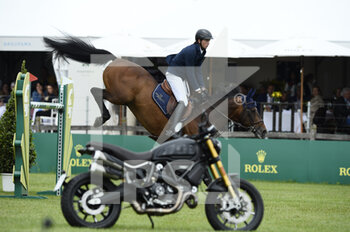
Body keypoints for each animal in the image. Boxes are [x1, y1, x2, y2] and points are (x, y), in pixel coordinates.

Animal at [44, 36, 268, 140]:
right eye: (252, 109)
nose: (264, 132)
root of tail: (116, 58)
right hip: (120, 95)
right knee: (96, 91)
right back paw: (103, 118)